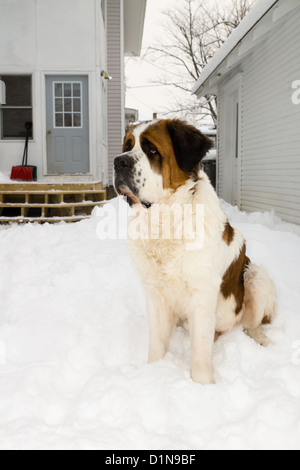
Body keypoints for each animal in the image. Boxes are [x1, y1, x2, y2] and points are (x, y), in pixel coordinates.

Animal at [113, 119, 276, 384]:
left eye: (151, 150)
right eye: (128, 146)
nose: (119, 161)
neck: (165, 221)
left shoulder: (202, 293)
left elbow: (200, 347)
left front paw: (202, 384)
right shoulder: (154, 293)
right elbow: (157, 341)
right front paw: (154, 371)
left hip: (256, 276)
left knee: (249, 324)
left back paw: (259, 338)